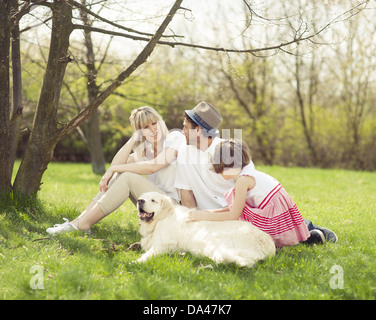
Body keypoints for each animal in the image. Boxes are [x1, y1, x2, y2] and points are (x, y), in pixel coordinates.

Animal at [137, 191, 274, 266]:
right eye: (142, 197)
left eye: (153, 200)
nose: (140, 200)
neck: (161, 219)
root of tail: (268, 244)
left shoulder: (163, 245)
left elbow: (148, 254)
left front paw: (136, 262)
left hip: (213, 242)